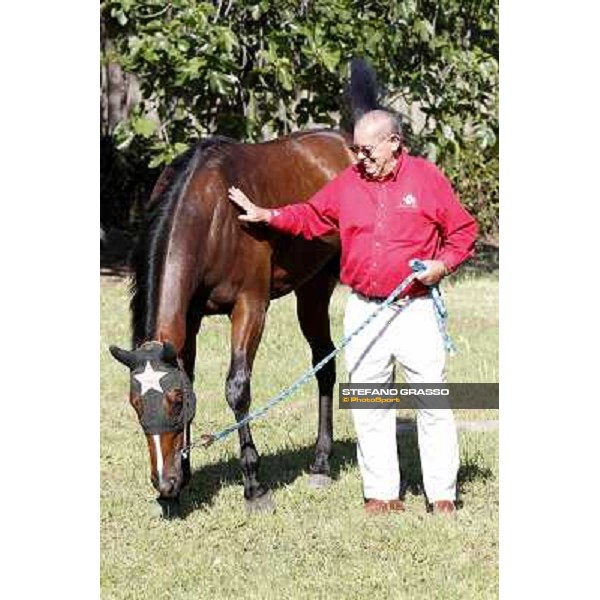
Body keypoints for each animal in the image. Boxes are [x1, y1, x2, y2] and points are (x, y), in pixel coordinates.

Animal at [110, 62, 378, 516]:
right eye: (135, 403)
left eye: (174, 401)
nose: (163, 483)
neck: (213, 210)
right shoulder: (191, 317)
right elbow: (192, 373)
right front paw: (185, 477)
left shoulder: (250, 307)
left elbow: (237, 389)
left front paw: (254, 485)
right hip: (309, 291)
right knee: (323, 360)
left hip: (322, 288)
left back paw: (322, 463)